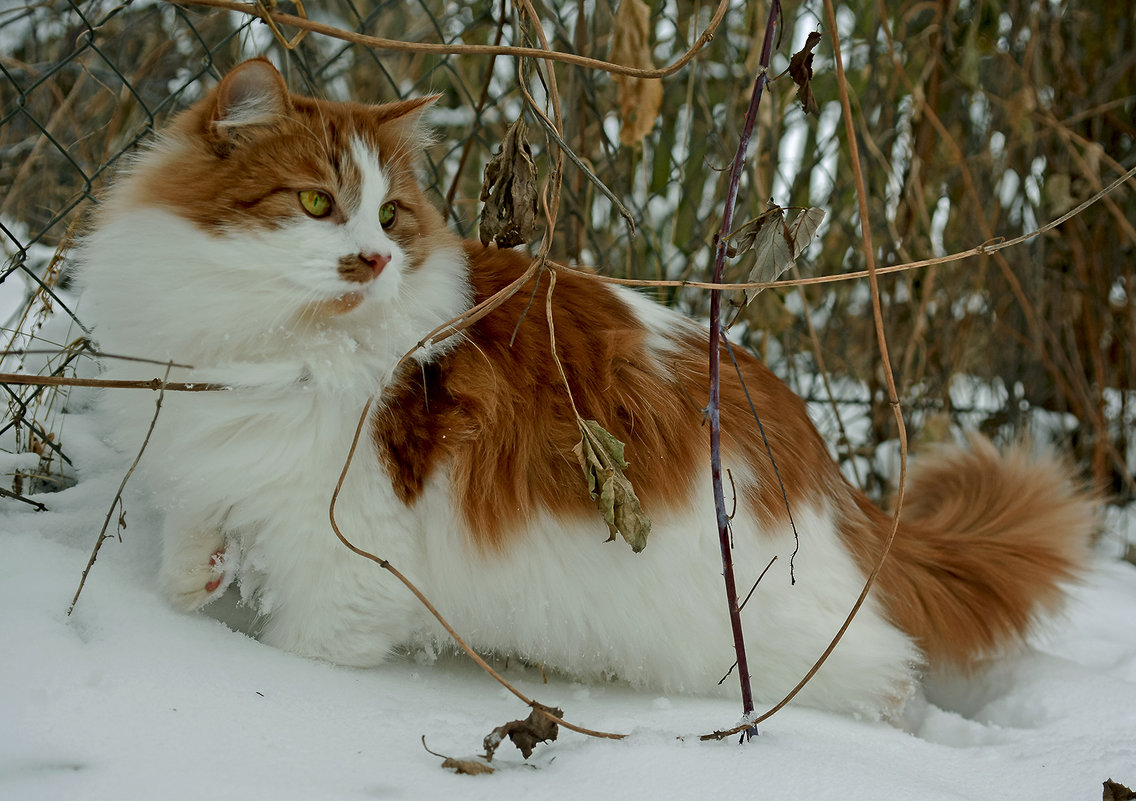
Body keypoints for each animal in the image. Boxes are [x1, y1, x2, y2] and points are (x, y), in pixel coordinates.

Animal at [75, 59, 1095, 713]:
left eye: (390, 215)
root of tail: (821, 464)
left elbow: (305, 650)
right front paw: (197, 581)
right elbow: (188, 542)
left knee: (885, 670)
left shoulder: (349, 552)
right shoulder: (210, 450)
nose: (372, 258)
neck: (271, 336)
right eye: (318, 204)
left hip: (752, 633)